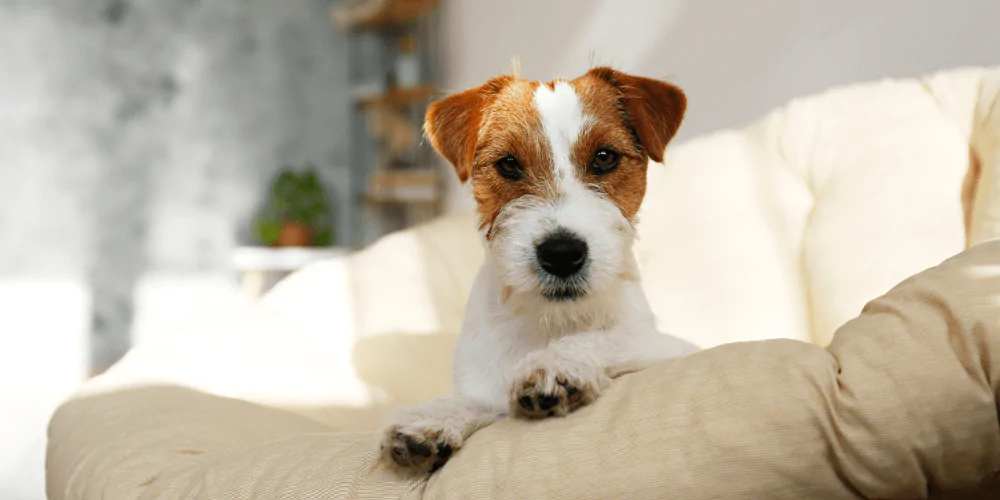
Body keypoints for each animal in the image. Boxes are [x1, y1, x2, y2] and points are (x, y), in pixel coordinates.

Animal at [378, 66, 700, 472]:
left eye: (605, 157)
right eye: (508, 164)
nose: (561, 253)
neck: (551, 321)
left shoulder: (670, 346)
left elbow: (614, 336)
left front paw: (557, 362)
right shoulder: (485, 384)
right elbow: (475, 400)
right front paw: (432, 418)